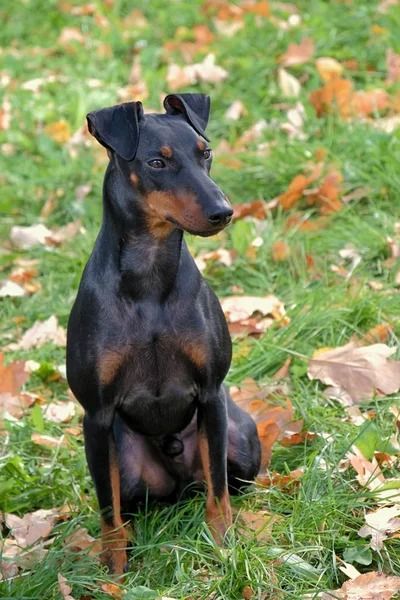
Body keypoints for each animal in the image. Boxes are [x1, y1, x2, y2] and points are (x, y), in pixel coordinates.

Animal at [67, 95, 260, 576]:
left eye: (205, 153)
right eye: (157, 162)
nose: (223, 211)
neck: (150, 277)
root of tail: (178, 485)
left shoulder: (210, 394)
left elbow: (219, 492)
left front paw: (224, 548)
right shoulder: (96, 416)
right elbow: (108, 511)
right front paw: (113, 573)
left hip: (239, 435)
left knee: (221, 480)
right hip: (123, 457)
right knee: (127, 502)